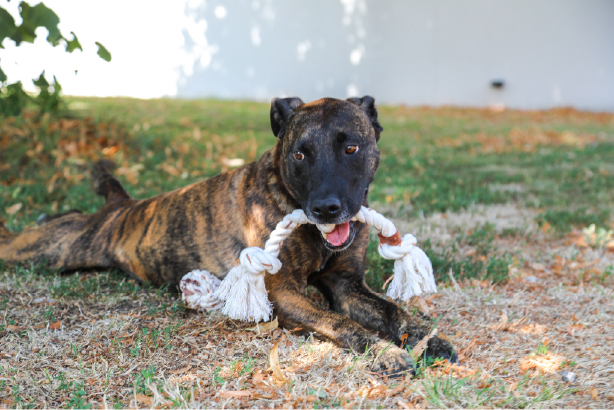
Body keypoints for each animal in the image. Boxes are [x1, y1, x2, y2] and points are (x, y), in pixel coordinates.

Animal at [0, 96, 456, 374]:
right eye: (299, 153)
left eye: (351, 148)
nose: (326, 209)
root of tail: (122, 209)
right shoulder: (285, 295)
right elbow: (341, 323)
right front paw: (384, 352)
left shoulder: (347, 285)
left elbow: (393, 313)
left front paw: (426, 338)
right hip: (52, 248)